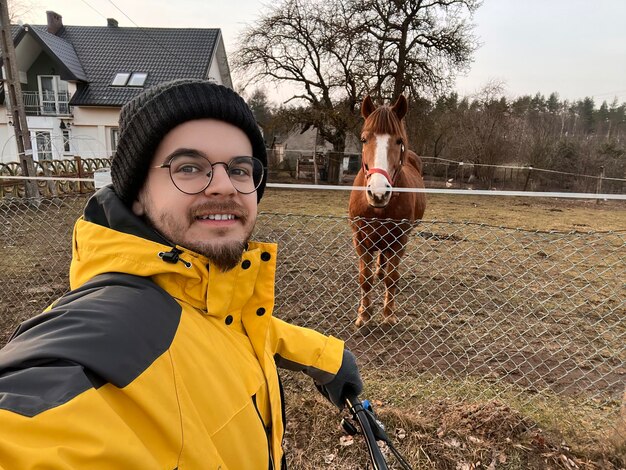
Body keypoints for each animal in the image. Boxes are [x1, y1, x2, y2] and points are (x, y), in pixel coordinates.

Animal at [348, 95, 426, 326]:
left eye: (399, 140)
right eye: (364, 139)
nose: (378, 193)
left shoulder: (399, 240)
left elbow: (392, 278)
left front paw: (389, 314)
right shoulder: (360, 239)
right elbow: (365, 279)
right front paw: (364, 314)